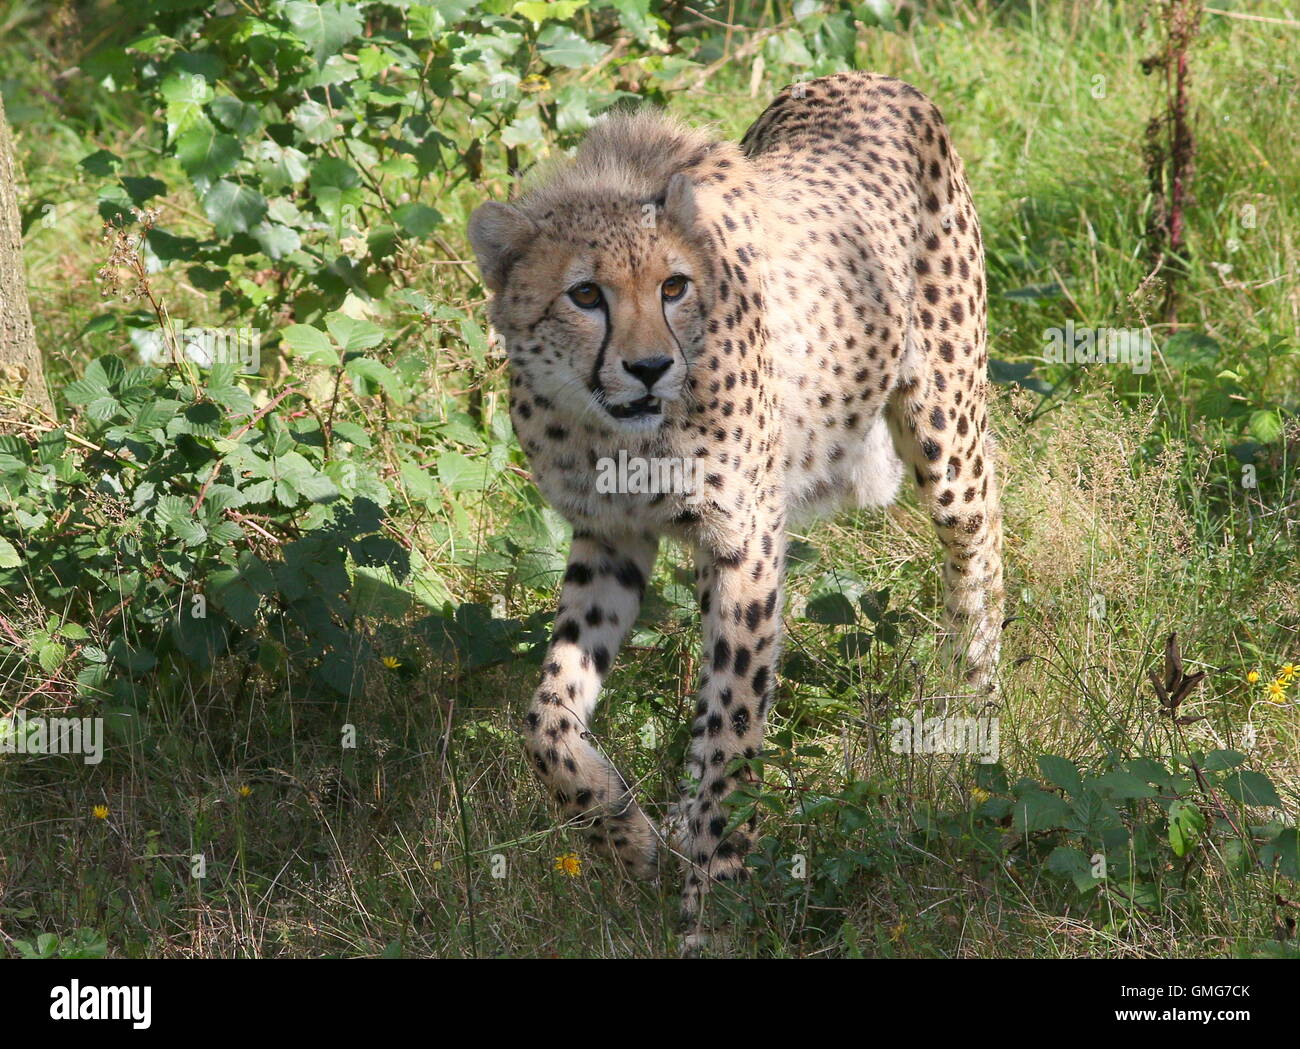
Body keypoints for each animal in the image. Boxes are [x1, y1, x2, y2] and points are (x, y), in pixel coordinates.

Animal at [467, 69, 1003, 930]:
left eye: (673, 285)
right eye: (584, 294)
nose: (649, 366)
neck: (620, 431)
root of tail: (872, 75)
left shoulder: (746, 540)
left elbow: (734, 727)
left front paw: (711, 897)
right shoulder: (608, 538)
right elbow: (545, 718)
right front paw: (629, 834)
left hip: (945, 425)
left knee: (981, 535)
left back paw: (979, 697)